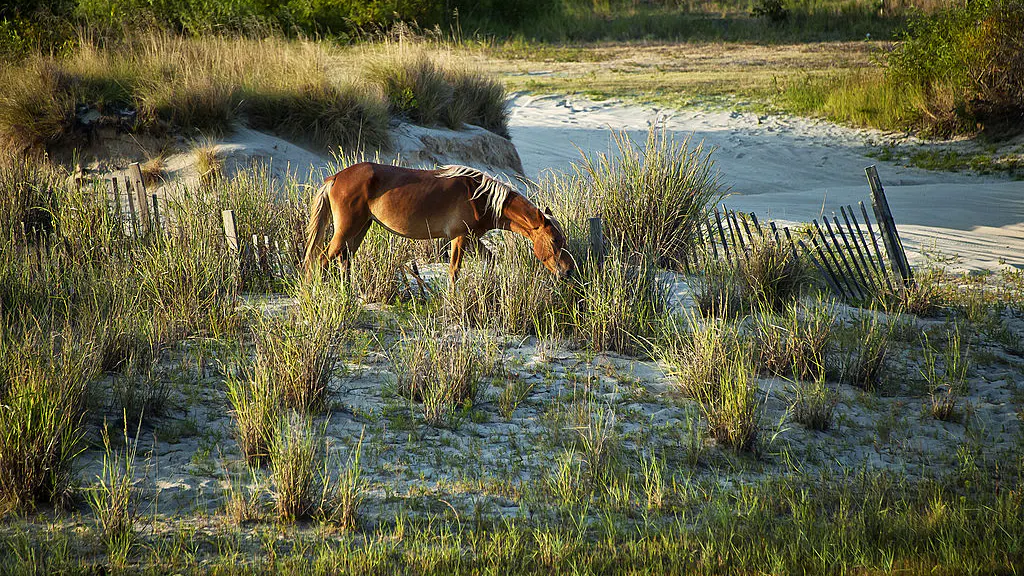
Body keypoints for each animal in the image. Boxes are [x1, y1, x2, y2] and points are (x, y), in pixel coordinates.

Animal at [302, 162, 575, 286]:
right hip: (347, 229)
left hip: (360, 228)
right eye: (555, 240)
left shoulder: (472, 238)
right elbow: (454, 270)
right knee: (322, 260)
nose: (568, 271)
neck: (480, 196)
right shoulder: (460, 237)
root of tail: (336, 177)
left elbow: (490, 260)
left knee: (344, 260)